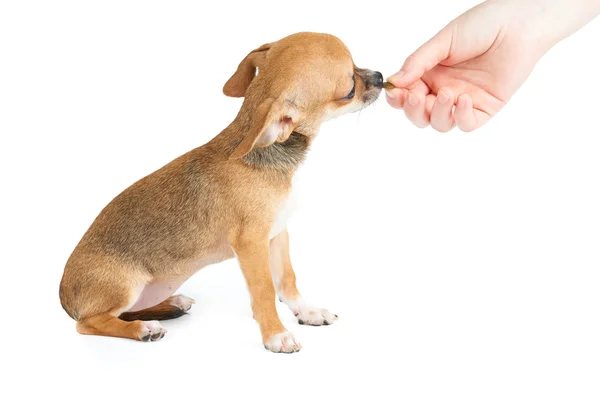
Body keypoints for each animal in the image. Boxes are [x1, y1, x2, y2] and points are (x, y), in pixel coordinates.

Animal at [58, 32, 382, 354]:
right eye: (350, 88)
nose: (379, 77)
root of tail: (64, 299)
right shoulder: (251, 244)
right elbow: (264, 290)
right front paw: (276, 334)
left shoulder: (277, 234)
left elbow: (287, 280)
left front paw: (307, 311)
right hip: (124, 287)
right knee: (90, 322)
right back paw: (142, 328)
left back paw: (171, 303)